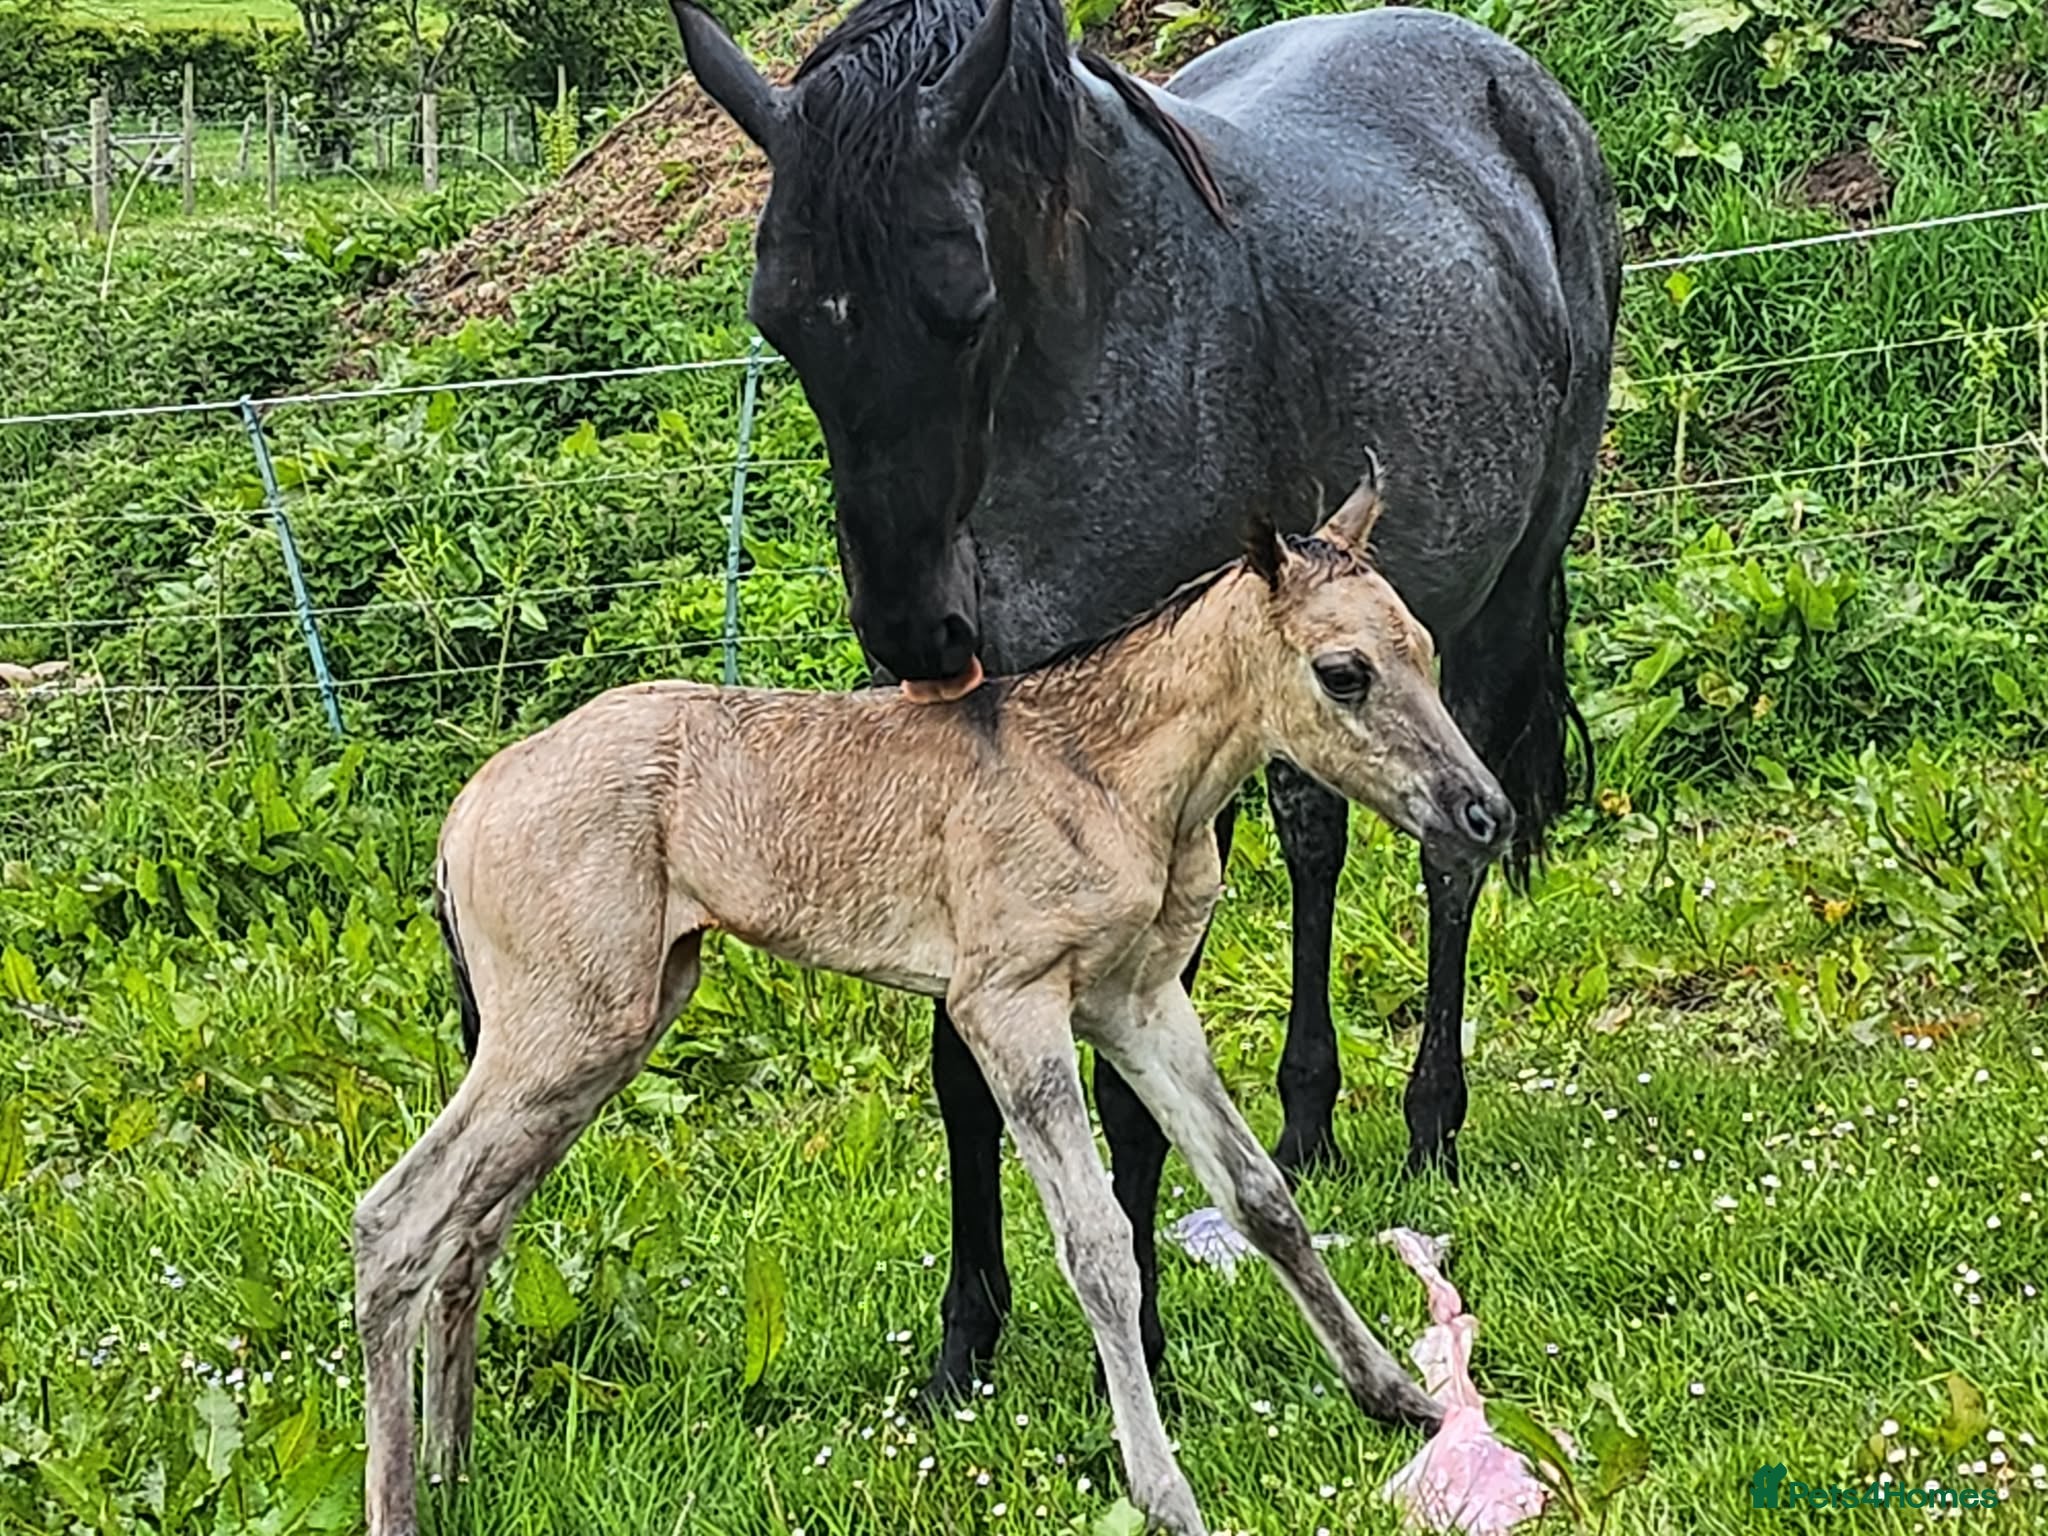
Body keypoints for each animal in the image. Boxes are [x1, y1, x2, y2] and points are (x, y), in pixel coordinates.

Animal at [352, 482, 1511, 1536]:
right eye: (1343, 673)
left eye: (1424, 649)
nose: (1484, 812)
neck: (1112, 775)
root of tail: (465, 811)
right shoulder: (1007, 1005)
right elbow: (1095, 1242)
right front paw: (1166, 1494)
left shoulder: (1137, 1004)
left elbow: (1262, 1194)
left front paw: (1397, 1397)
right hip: (564, 1029)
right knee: (393, 1222)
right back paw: (401, 1502)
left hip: (604, 1029)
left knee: (471, 1231)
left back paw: (451, 1471)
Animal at [670, 0, 1620, 1399]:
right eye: (781, 321)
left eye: (961, 305)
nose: (915, 632)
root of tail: (1510, 80)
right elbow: (961, 1073)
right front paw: (966, 1340)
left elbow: (1128, 1086)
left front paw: (1149, 1338)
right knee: (1316, 840)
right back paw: (1306, 1115)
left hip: (1486, 611)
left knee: (1451, 854)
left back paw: (1428, 1126)